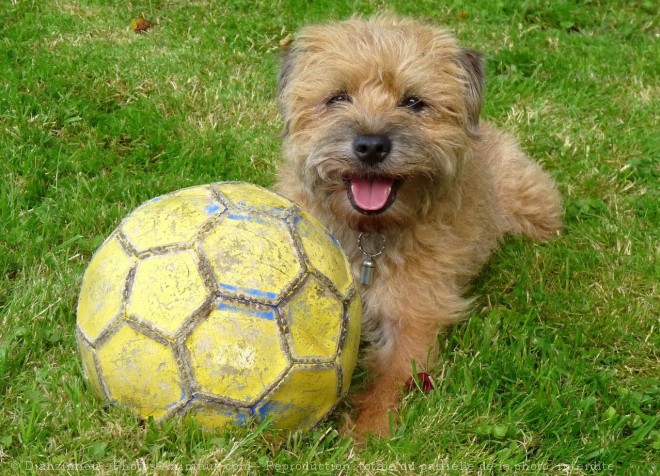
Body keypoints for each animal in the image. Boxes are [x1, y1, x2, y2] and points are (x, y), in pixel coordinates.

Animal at [274, 15, 564, 438]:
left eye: (413, 102)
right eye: (338, 98)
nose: (371, 145)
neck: (370, 236)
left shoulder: (414, 315)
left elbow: (395, 375)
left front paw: (367, 433)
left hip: (532, 207)